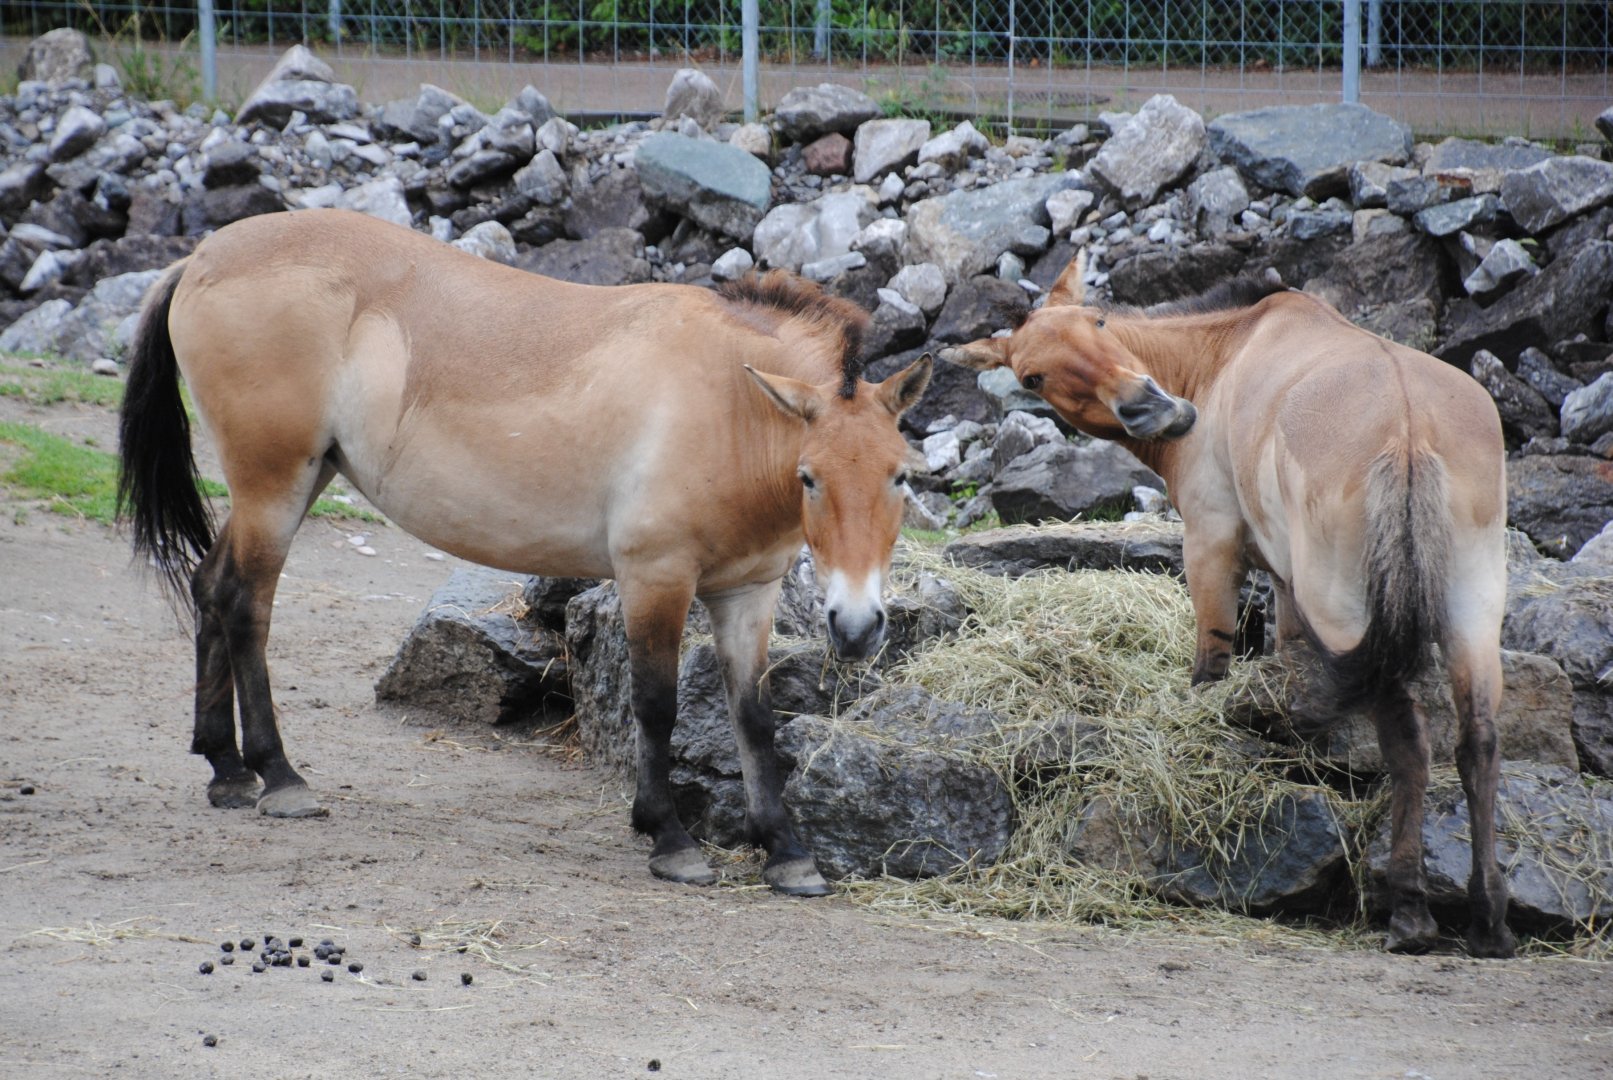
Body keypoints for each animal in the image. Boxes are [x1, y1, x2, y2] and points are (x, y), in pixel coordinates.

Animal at [117, 208, 931, 897]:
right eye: (809, 476)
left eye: (900, 475)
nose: (859, 626)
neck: (727, 404)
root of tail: (201, 256)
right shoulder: (655, 577)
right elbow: (656, 705)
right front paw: (669, 838)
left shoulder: (747, 592)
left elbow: (754, 718)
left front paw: (786, 852)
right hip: (274, 485)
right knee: (246, 605)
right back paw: (279, 778)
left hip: (299, 478)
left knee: (211, 585)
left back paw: (225, 770)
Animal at [941, 256, 1514, 957]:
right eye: (1033, 376)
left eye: (1096, 320)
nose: (1149, 408)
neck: (1225, 353)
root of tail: (1410, 428)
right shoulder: (1286, 586)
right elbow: (1286, 659)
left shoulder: (1210, 546)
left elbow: (1210, 665)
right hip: (1471, 610)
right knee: (1477, 742)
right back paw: (1489, 920)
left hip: (1354, 615)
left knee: (1410, 746)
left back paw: (1409, 908)